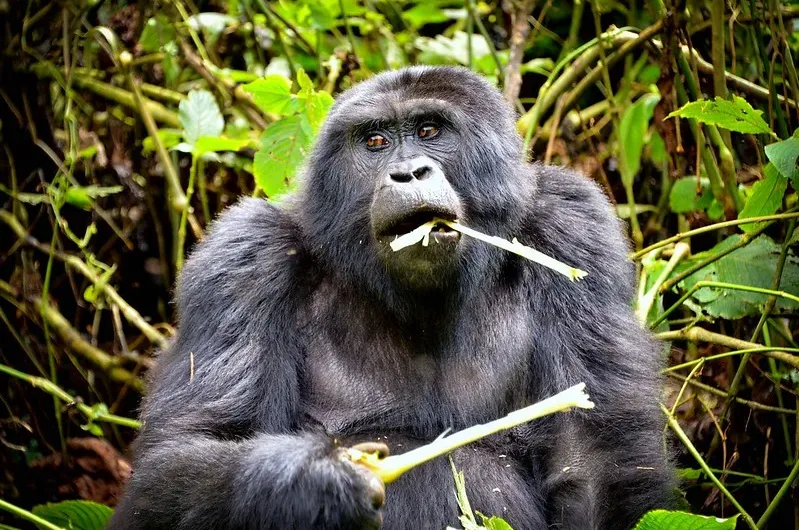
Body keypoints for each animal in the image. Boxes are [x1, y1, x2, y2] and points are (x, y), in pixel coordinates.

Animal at [109, 66, 676, 528]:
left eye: (429, 131)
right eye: (376, 141)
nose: (407, 173)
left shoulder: (573, 226)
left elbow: (599, 467)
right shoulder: (245, 255)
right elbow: (180, 459)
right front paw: (310, 486)